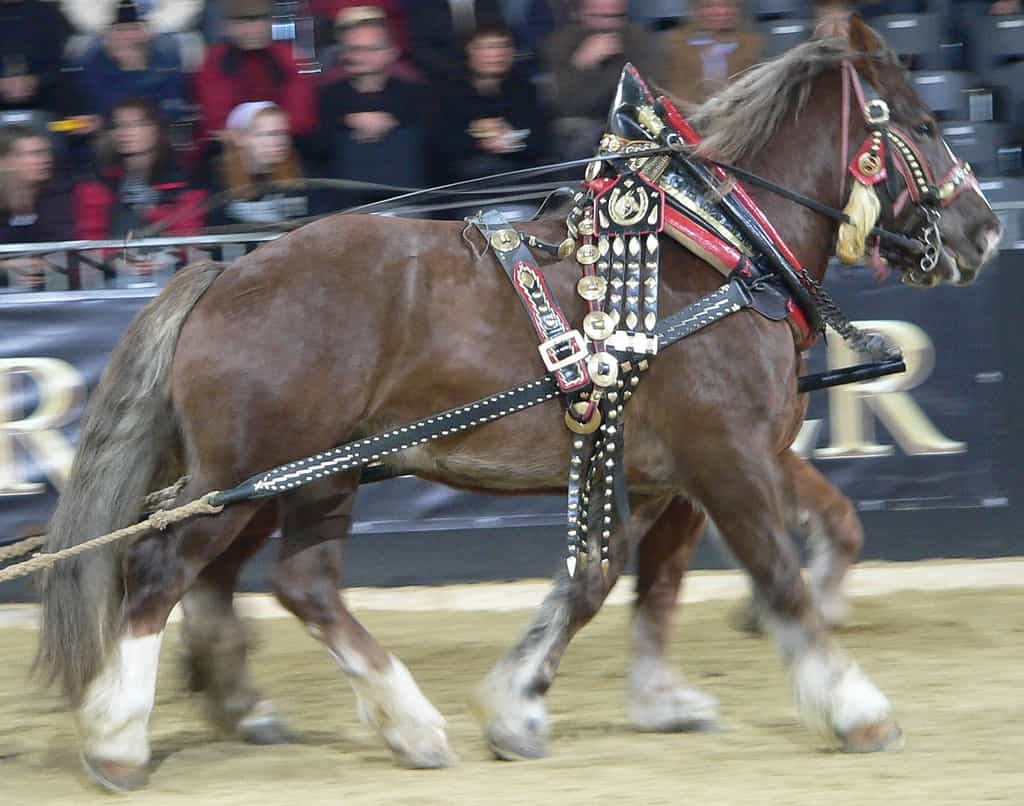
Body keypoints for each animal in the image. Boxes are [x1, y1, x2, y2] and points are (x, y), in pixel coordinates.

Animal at [36, 20, 995, 794]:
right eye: (923, 125)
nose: (984, 231)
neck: (720, 256)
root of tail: (221, 274)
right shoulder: (728, 460)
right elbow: (776, 578)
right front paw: (855, 706)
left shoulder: (673, 472)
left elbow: (617, 582)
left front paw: (574, 702)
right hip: (247, 477)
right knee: (163, 575)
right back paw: (121, 740)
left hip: (298, 478)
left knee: (289, 585)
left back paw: (375, 722)